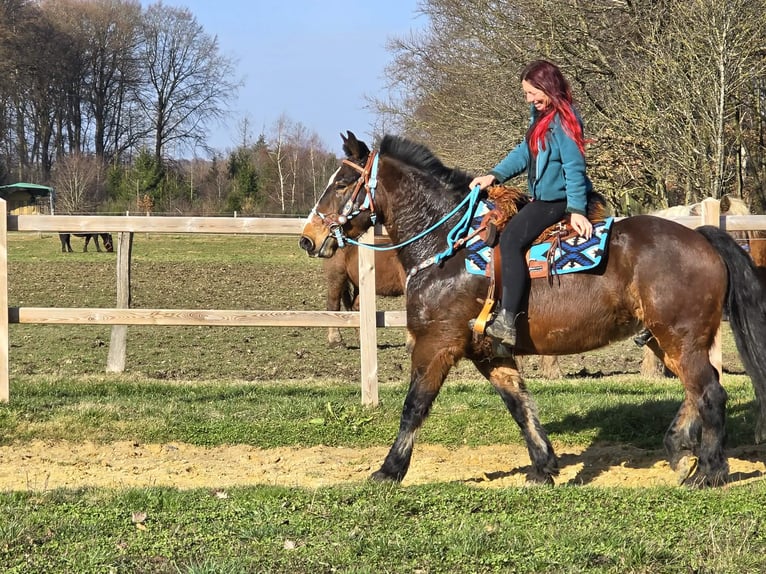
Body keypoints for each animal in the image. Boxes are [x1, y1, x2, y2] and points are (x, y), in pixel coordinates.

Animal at [299, 130, 766, 488]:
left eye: (342, 182)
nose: (308, 237)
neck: (449, 248)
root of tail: (702, 237)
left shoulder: (436, 346)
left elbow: (415, 406)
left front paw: (389, 470)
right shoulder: (489, 353)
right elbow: (521, 406)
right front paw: (543, 467)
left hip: (680, 338)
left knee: (710, 393)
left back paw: (709, 471)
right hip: (668, 340)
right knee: (696, 391)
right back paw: (679, 446)